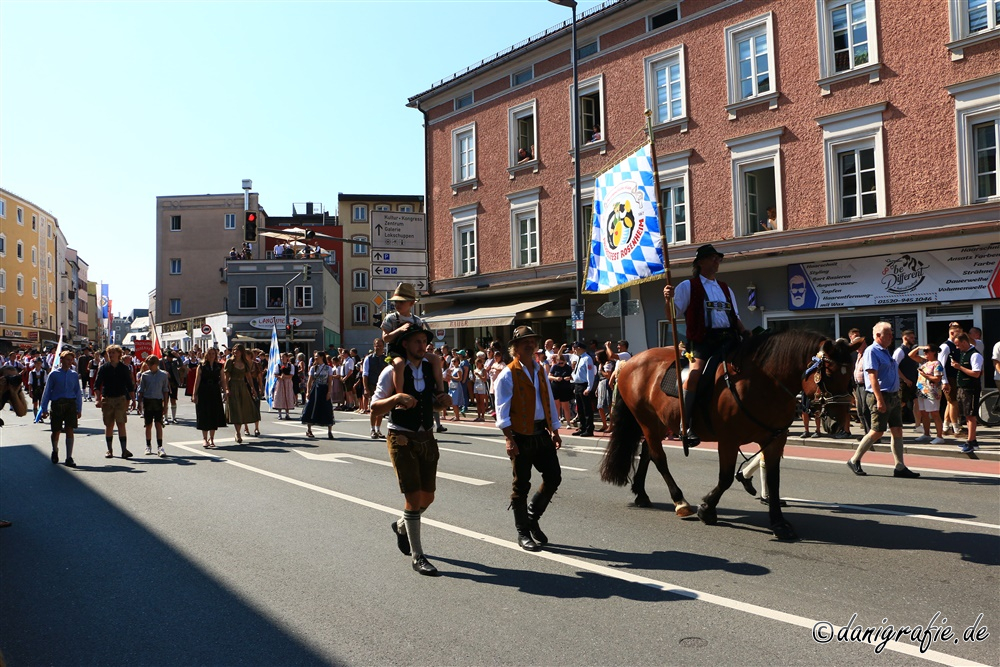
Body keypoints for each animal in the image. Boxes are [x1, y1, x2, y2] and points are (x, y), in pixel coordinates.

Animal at [596, 332, 856, 540]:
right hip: (647, 421)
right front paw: (707, 509)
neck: (763, 382)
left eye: (850, 374)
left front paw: (779, 523)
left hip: (658, 423)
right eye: (828, 373)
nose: (836, 423)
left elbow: (774, 480)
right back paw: (680, 501)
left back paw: (641, 494)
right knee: (659, 459)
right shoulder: (728, 441)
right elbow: (726, 478)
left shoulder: (774, 440)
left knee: (647, 453)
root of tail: (629, 363)